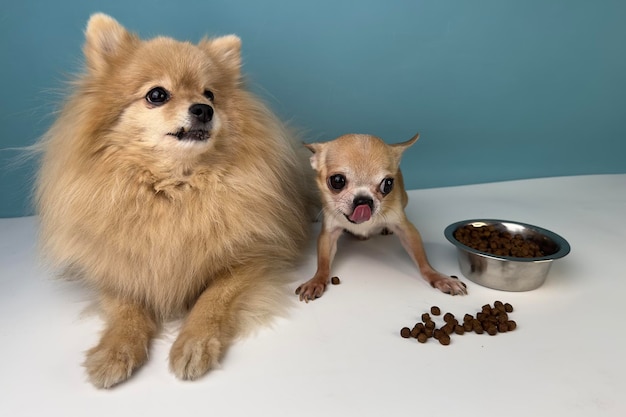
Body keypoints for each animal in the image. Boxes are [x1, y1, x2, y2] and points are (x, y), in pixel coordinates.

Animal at [36, 13, 314, 390]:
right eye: (157, 95)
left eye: (210, 94)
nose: (204, 109)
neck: (174, 189)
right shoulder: (117, 265)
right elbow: (126, 307)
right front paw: (116, 349)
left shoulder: (252, 260)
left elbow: (212, 301)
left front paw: (194, 343)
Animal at [294, 133, 466, 300]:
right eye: (337, 180)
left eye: (388, 183)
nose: (363, 200)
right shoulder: (328, 234)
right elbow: (323, 262)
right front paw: (316, 280)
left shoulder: (407, 229)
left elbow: (422, 259)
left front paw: (438, 277)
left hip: (405, 198)